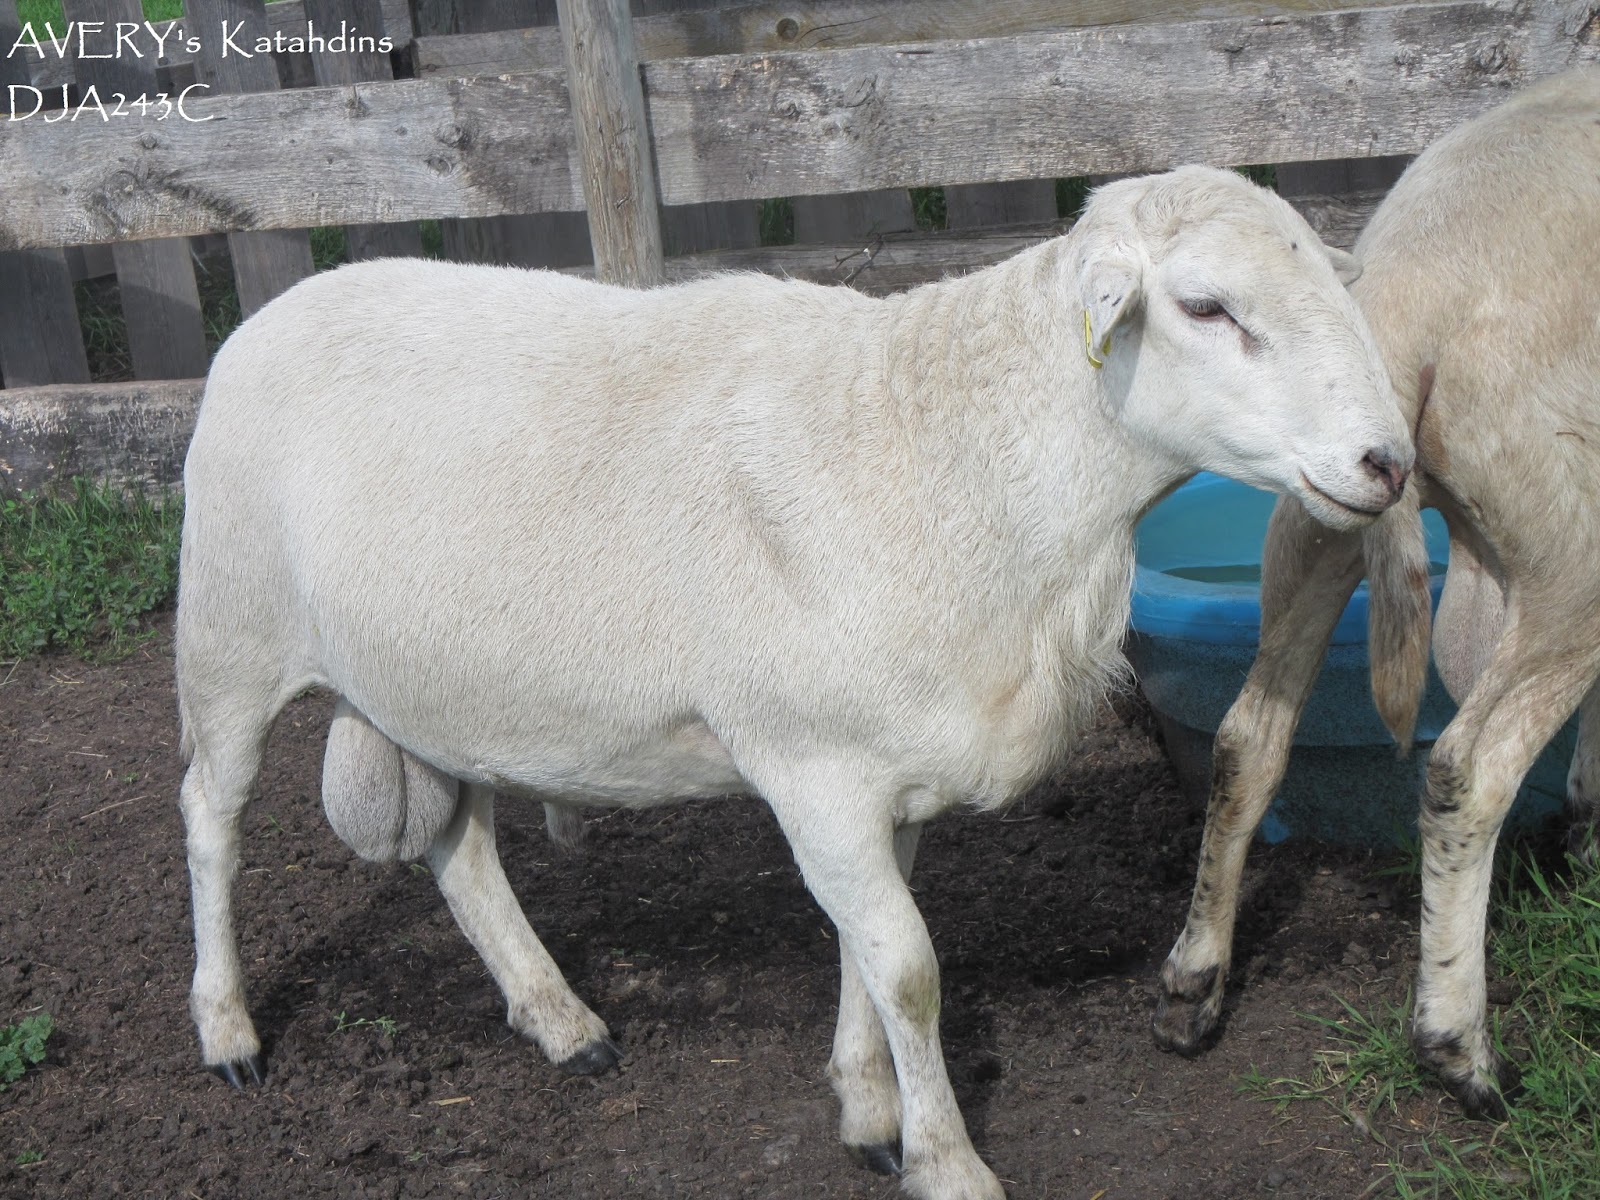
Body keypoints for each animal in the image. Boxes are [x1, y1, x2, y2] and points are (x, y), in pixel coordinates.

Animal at [175, 164, 1412, 1200]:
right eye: (1204, 308)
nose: (1388, 463)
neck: (957, 452)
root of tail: (275, 308)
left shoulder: (885, 775)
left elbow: (867, 955)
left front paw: (868, 1113)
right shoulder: (812, 767)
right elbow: (908, 968)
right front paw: (947, 1163)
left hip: (439, 685)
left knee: (460, 850)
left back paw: (559, 1018)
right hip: (229, 636)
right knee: (210, 821)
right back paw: (228, 1032)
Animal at [1152, 68, 1600, 1121]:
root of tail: (1405, 295)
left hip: (1314, 516)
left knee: (1246, 738)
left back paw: (1196, 982)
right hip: (1573, 540)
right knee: (1468, 769)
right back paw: (1459, 1048)